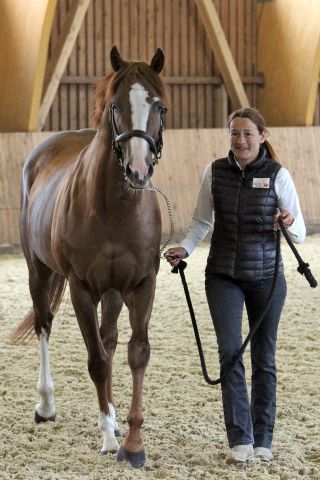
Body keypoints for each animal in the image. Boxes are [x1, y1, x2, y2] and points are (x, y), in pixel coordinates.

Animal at [11, 46, 168, 468]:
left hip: (111, 292)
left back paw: (109, 414)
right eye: (116, 105)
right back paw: (46, 406)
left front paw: (132, 442)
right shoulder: (81, 288)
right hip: (39, 271)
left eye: (159, 106)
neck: (116, 208)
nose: (138, 169)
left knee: (109, 340)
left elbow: (136, 353)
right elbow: (96, 360)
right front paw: (110, 440)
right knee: (45, 325)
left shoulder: (141, 285)